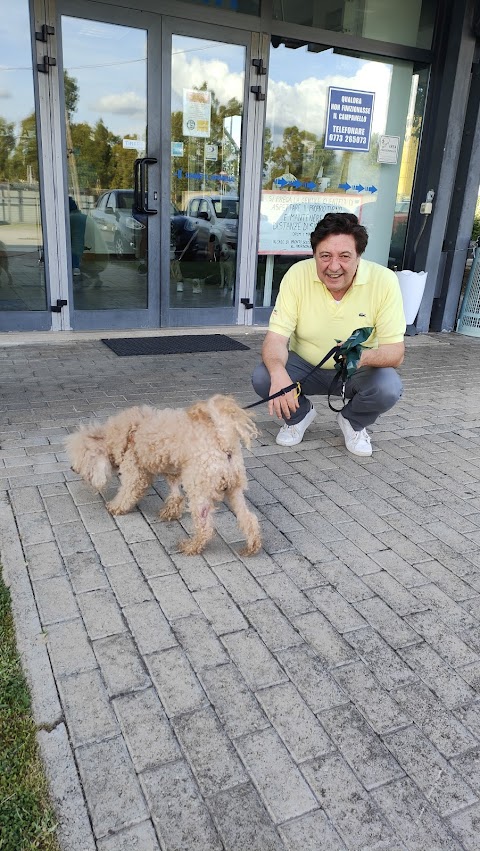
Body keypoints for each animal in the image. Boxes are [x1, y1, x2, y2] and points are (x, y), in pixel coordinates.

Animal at [65, 394, 260, 556]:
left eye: (82, 455)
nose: (72, 469)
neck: (127, 433)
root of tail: (223, 441)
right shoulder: (171, 467)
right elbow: (174, 491)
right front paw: (171, 510)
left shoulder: (135, 472)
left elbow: (127, 492)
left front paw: (116, 507)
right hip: (235, 489)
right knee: (248, 518)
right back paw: (252, 546)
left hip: (199, 488)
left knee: (205, 527)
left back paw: (191, 546)